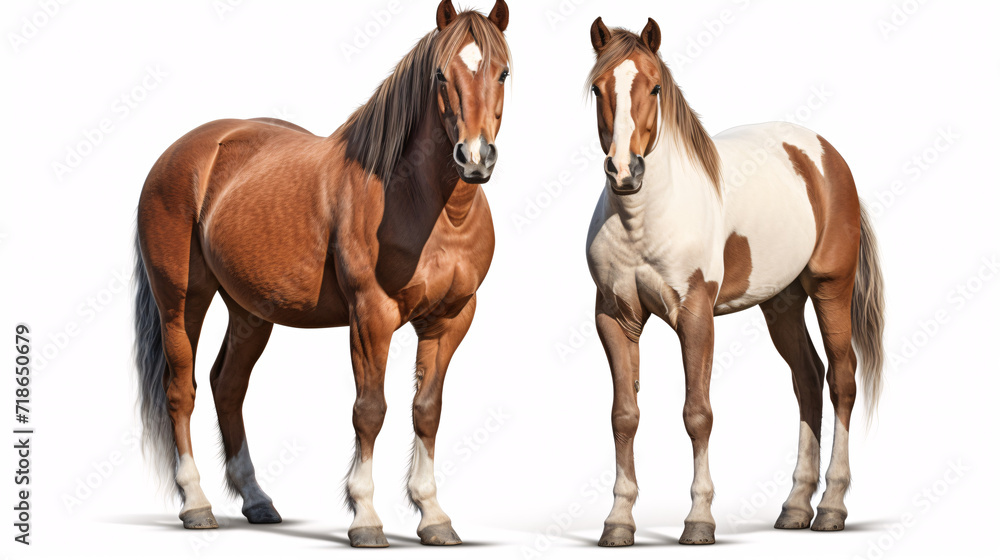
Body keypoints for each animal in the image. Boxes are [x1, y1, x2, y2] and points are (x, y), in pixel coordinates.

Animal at [132, 0, 510, 547]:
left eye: (503, 72)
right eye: (440, 74)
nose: (475, 157)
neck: (425, 204)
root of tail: (184, 152)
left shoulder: (450, 319)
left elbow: (427, 410)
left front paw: (434, 515)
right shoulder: (370, 316)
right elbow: (370, 410)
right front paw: (365, 517)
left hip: (250, 311)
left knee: (228, 385)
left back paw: (257, 500)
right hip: (181, 301)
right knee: (181, 390)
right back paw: (197, 504)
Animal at [583, 18, 885, 546]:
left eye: (655, 87)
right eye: (599, 88)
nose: (624, 171)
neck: (643, 219)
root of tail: (826, 156)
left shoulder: (696, 317)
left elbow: (697, 414)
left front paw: (699, 520)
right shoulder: (615, 318)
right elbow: (624, 416)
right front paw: (618, 521)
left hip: (831, 287)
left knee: (841, 380)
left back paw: (831, 507)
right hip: (782, 303)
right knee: (807, 379)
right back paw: (795, 507)